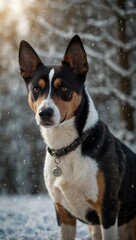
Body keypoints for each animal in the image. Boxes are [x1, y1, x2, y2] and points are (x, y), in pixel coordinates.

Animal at [18, 35, 136, 240]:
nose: (45, 113)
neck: (67, 147)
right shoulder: (63, 212)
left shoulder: (108, 207)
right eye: (35, 89)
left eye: (64, 88)